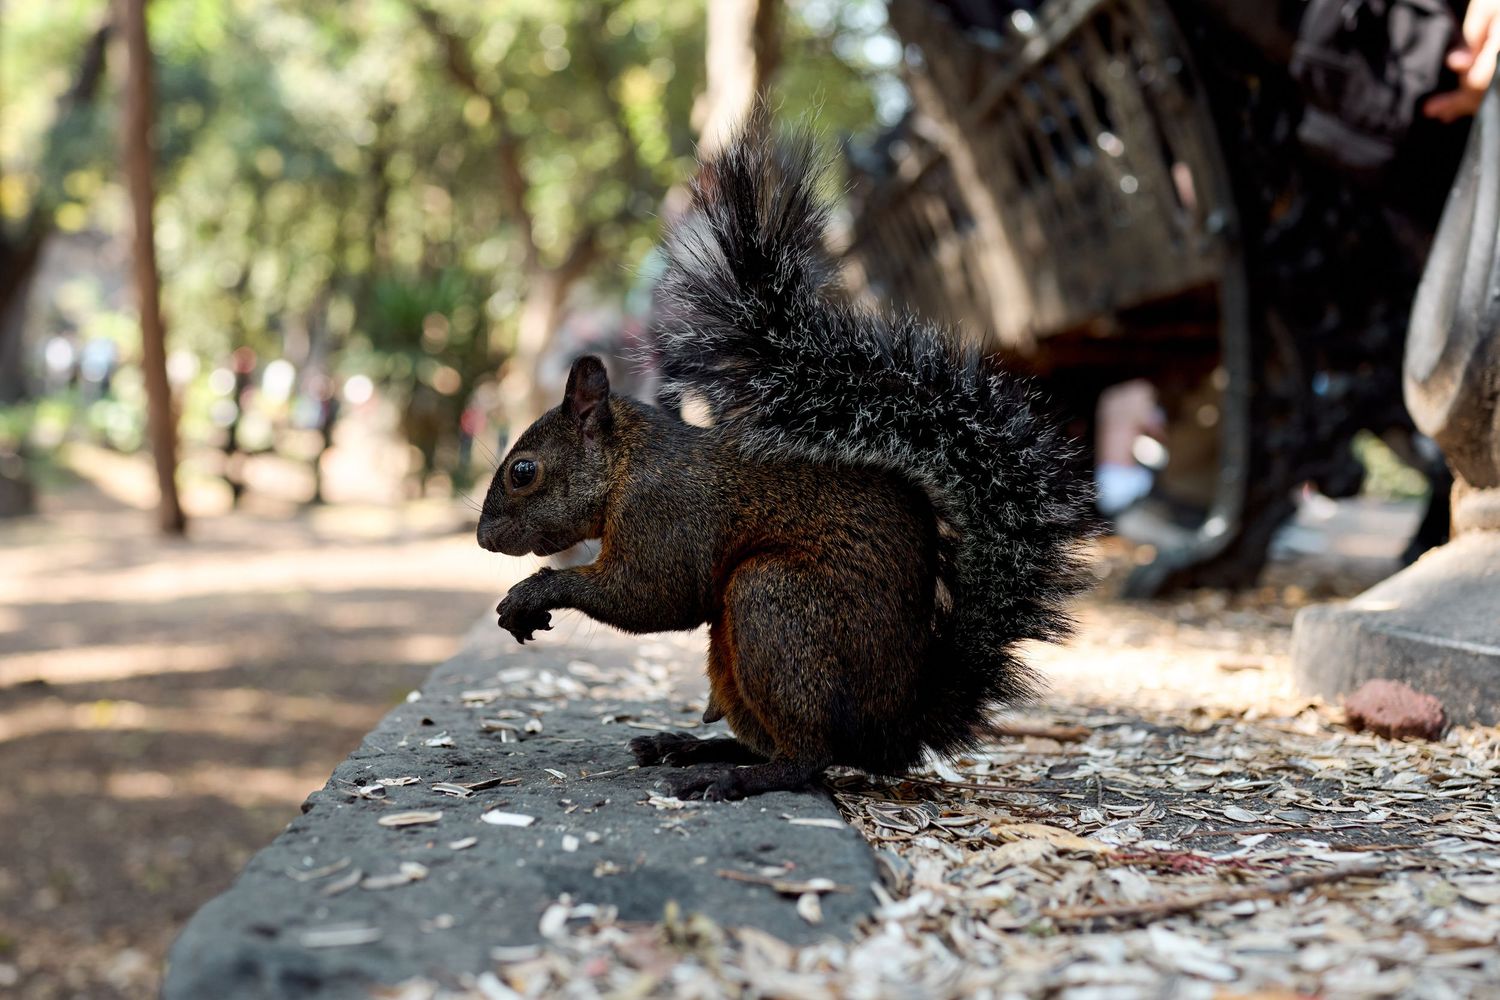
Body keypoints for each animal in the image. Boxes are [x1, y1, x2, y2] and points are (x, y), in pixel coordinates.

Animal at [477, 127, 1094, 800]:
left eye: (523, 471)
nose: (484, 539)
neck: (628, 467)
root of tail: (895, 725)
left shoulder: (666, 514)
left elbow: (652, 596)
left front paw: (532, 593)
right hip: (733, 654)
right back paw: (690, 746)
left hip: (774, 601)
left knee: (810, 756)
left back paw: (733, 776)